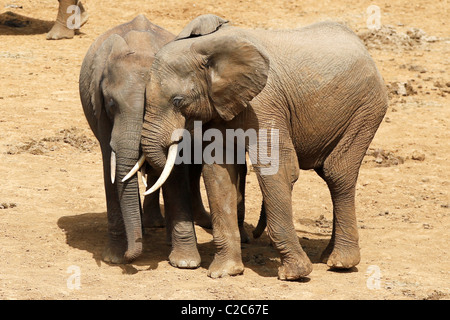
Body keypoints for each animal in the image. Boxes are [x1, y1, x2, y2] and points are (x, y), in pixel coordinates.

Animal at [78, 14, 209, 268]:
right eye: (111, 104)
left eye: (154, 104)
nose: (131, 257)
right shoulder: (101, 110)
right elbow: (110, 165)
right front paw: (114, 258)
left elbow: (174, 171)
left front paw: (185, 263)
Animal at [140, 14, 386, 280]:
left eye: (178, 101)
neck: (206, 49)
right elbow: (218, 173)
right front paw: (225, 272)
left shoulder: (264, 104)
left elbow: (276, 169)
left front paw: (294, 274)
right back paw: (327, 256)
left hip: (366, 110)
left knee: (337, 174)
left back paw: (341, 263)